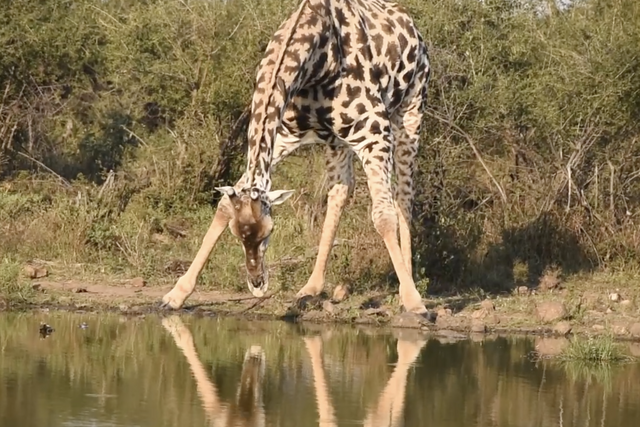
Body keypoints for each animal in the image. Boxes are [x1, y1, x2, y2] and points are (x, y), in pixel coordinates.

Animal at [161, 0, 432, 315]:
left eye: (269, 231)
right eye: (236, 234)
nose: (257, 283)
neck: (319, 59)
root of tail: (411, 24)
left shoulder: (374, 134)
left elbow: (383, 216)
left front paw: (413, 301)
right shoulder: (282, 136)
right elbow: (225, 204)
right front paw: (176, 294)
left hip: (410, 112)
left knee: (403, 196)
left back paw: (407, 287)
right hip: (336, 142)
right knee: (340, 192)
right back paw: (311, 287)